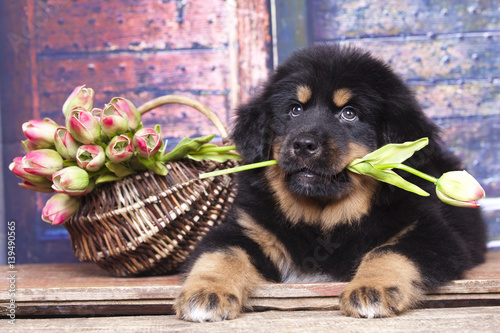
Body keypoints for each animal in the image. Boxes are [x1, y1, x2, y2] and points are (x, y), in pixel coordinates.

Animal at [174, 42, 486, 320]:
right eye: (295, 110)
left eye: (349, 113)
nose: (303, 145)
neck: (322, 219)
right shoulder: (245, 228)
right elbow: (222, 254)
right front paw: (205, 293)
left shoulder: (431, 233)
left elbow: (389, 252)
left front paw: (371, 289)